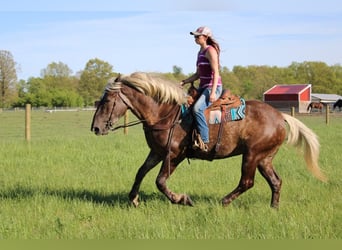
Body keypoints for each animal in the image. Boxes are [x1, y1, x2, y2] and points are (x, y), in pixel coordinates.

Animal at [90, 73, 326, 209]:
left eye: (107, 100)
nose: (96, 128)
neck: (165, 114)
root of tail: (280, 116)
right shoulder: (156, 152)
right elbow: (140, 172)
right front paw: (133, 199)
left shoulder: (175, 155)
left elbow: (160, 181)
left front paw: (182, 199)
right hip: (264, 158)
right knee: (275, 181)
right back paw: (273, 208)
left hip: (252, 155)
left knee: (247, 182)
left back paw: (223, 201)